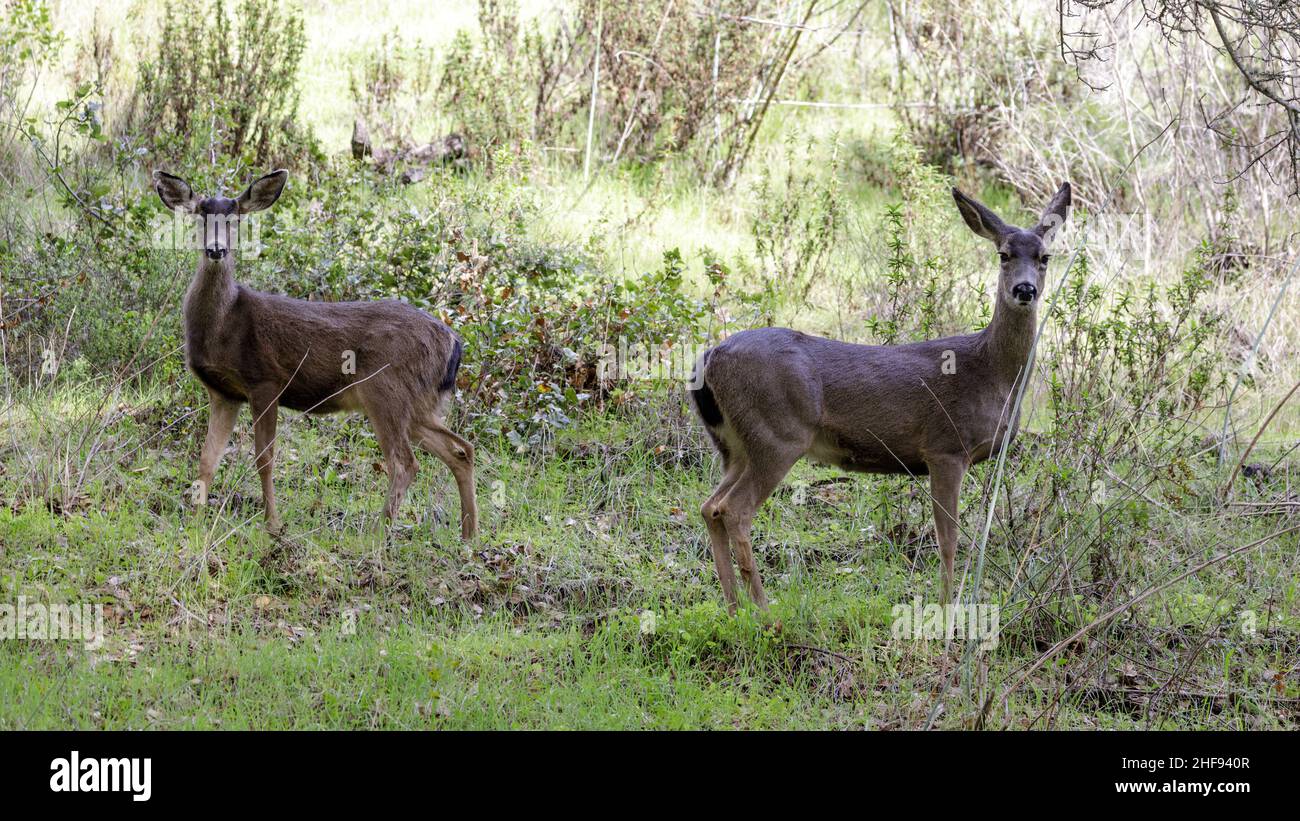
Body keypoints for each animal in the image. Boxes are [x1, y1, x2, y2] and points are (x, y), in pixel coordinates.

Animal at [152, 166, 478, 537]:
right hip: (419, 403)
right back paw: (468, 536)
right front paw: (194, 524)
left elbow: (265, 458)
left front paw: (273, 524)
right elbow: (207, 459)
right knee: (460, 449)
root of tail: (454, 342)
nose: (216, 250)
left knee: (405, 463)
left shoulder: (266, 380)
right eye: (200, 217)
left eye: (235, 219)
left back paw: (378, 533)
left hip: (387, 389)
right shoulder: (224, 393)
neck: (225, 325)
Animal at [686, 183, 1071, 613]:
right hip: (777, 435)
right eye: (1003, 254)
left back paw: (734, 608)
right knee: (735, 509)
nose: (1025, 289)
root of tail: (709, 358)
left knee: (710, 506)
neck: (990, 373)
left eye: (1044, 257)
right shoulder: (945, 447)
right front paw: (946, 608)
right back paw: (764, 610)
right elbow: (948, 539)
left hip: (734, 446)